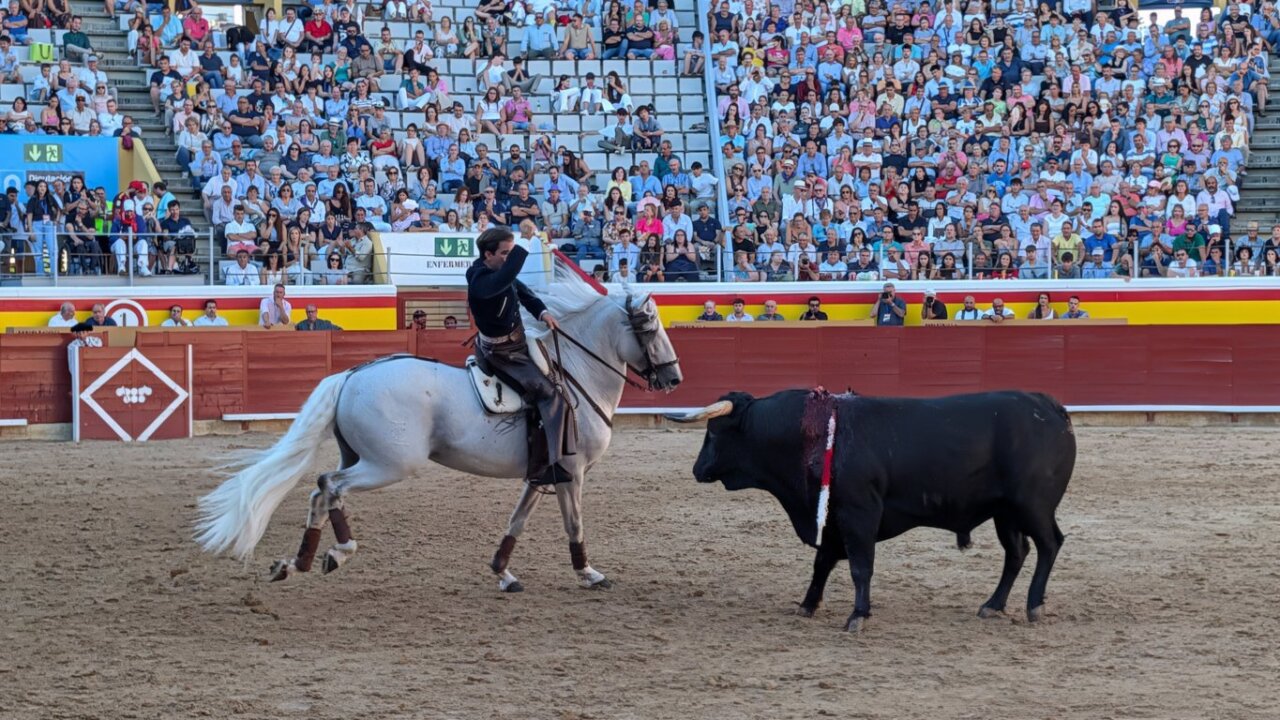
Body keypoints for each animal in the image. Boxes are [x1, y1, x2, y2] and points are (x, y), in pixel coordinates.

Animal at [194, 267, 682, 592]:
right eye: (650, 327)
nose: (674, 378)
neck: (577, 374)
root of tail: (351, 374)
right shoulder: (571, 472)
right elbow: (574, 522)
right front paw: (588, 572)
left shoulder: (541, 473)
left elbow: (518, 519)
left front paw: (503, 571)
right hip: (389, 464)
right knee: (329, 484)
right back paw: (337, 552)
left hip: (362, 457)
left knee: (321, 491)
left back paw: (300, 562)